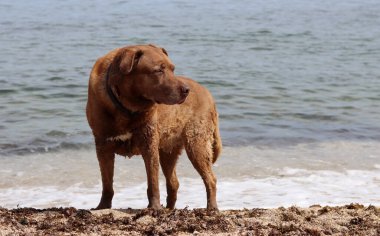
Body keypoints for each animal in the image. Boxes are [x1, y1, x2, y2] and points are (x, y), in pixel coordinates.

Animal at [86, 44, 221, 210]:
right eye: (158, 70)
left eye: (172, 69)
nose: (186, 90)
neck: (126, 107)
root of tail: (209, 94)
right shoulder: (103, 145)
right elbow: (106, 182)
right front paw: (103, 206)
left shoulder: (148, 141)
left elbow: (153, 181)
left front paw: (155, 207)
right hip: (168, 150)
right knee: (174, 182)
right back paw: (170, 209)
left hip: (196, 142)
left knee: (210, 179)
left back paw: (211, 208)